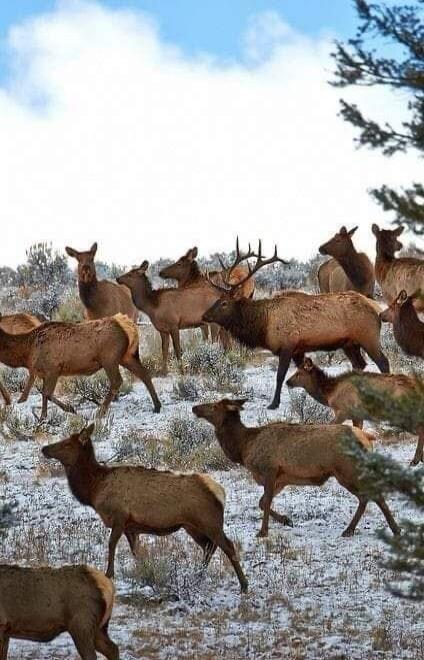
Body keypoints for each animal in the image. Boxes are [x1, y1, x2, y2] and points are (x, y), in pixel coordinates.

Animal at [0, 313, 160, 418]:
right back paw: (157, 406)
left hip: (109, 359)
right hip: (127, 356)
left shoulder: (53, 369)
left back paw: (100, 412)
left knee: (117, 381)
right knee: (144, 374)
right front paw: (42, 417)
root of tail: (127, 326)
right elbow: (44, 395)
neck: (26, 353)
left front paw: (70, 409)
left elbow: (47, 393)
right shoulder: (44, 373)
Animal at [42, 424, 248, 593]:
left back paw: (244, 585)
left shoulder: (119, 516)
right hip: (191, 526)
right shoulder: (131, 527)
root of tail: (220, 492)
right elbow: (137, 552)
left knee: (227, 546)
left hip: (210, 521)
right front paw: (144, 572)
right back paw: (198, 575)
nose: (44, 449)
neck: (94, 490)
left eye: (66, 444)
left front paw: (109, 574)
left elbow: (111, 544)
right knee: (208, 546)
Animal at [193, 399, 400, 538]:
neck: (243, 448)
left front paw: (263, 532)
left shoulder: (269, 469)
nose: (195, 408)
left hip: (348, 470)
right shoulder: (282, 478)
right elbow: (262, 502)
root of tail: (367, 438)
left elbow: (265, 502)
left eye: (213, 406)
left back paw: (389, 528)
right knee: (366, 497)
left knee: (372, 495)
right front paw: (286, 520)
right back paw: (354, 529)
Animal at [203, 240, 390, 409]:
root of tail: (377, 309)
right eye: (217, 299)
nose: (205, 315)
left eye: (224, 303)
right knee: (360, 364)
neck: (264, 325)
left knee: (383, 362)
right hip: (349, 344)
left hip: (368, 337)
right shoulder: (299, 350)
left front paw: (274, 403)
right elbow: (301, 372)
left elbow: (280, 375)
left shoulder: (287, 345)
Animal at [287, 357, 424, 465]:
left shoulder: (343, 412)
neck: (330, 393)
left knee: (420, 429)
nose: (287, 382)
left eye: (298, 373)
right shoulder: (357, 416)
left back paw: (415, 460)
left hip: (402, 415)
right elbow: (358, 432)